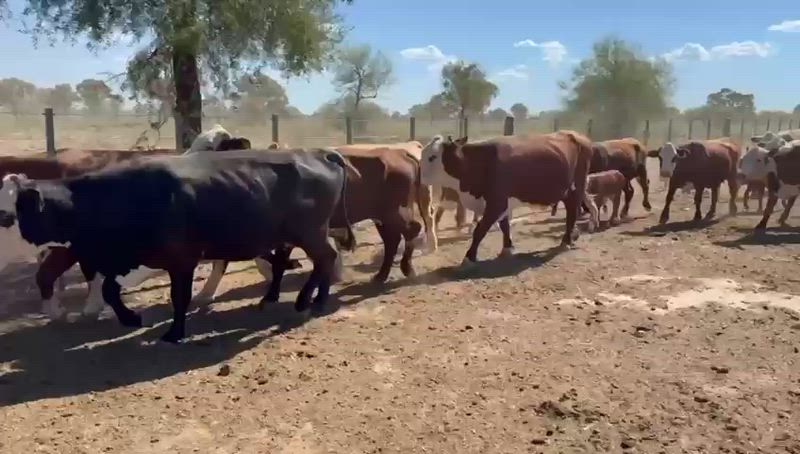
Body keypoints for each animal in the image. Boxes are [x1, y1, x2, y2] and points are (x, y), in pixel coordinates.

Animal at [2, 148, 355, 343]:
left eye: (8, 214)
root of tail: (319, 153)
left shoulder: (181, 260)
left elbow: (178, 297)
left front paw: (174, 333)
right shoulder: (123, 259)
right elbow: (109, 291)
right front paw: (131, 319)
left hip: (309, 233)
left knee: (325, 257)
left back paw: (305, 301)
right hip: (296, 235)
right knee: (313, 260)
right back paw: (307, 300)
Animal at [435, 132, 595, 265]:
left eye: (432, 158)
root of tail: (578, 136)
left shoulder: (496, 203)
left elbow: (481, 229)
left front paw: (469, 257)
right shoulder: (502, 202)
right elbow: (504, 225)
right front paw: (507, 248)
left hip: (576, 188)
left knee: (573, 211)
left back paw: (567, 240)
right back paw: (572, 236)